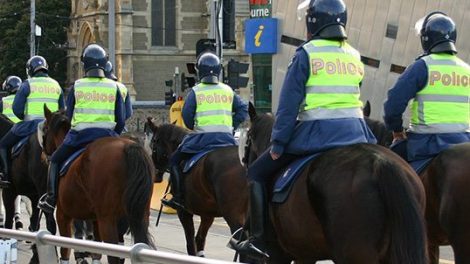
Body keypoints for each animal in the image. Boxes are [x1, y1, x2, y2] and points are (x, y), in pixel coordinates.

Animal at [43, 107, 155, 264]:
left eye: (45, 128)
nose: (44, 153)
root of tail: (129, 146)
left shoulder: (63, 214)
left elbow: (65, 248)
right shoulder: (95, 220)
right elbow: (96, 251)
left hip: (107, 220)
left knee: (113, 254)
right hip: (140, 216)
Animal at [146, 119, 250, 260]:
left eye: (153, 145)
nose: (155, 175)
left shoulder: (184, 212)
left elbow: (190, 242)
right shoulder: (208, 214)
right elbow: (200, 240)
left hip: (233, 215)